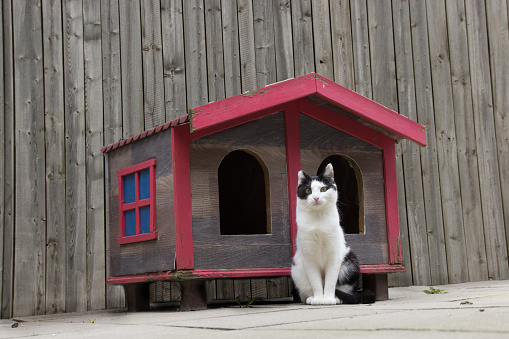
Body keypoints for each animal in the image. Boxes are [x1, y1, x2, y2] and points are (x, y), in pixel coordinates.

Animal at [290, 164, 374, 306]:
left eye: (323, 189)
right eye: (308, 190)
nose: (316, 198)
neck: (318, 219)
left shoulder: (334, 254)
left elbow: (330, 281)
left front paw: (328, 298)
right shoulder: (309, 256)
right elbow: (315, 281)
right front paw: (319, 298)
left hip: (349, 262)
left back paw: (337, 298)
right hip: (297, 269)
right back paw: (311, 298)